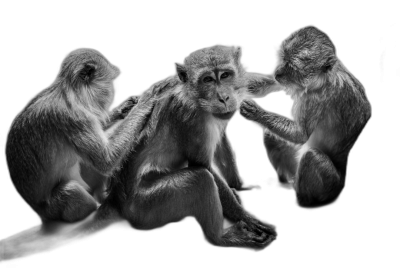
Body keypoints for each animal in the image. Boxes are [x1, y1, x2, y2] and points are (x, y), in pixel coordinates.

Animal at [4, 49, 158, 225]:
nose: (112, 91)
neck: (72, 94)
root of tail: (40, 215)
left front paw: (123, 109)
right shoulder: (74, 118)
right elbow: (105, 160)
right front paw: (145, 103)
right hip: (52, 210)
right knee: (71, 190)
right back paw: (95, 207)